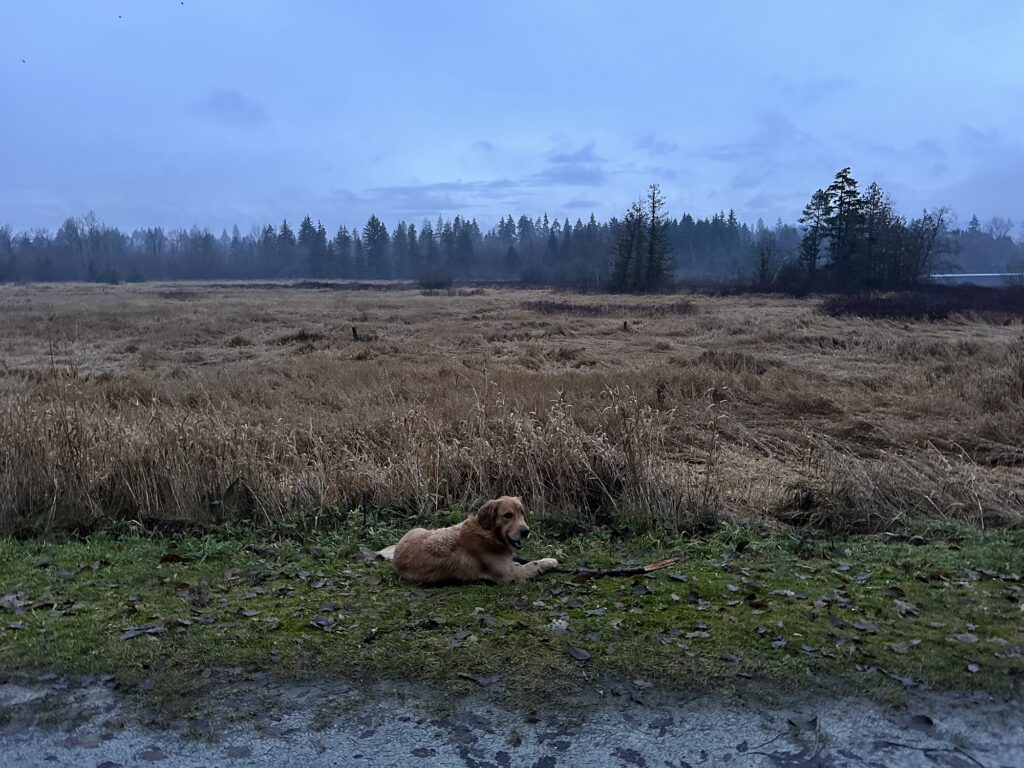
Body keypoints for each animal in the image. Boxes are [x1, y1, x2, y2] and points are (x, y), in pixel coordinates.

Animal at [376, 495, 557, 585]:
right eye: (508, 515)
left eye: (522, 513)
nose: (526, 531)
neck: (489, 533)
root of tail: (397, 550)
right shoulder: (508, 575)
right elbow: (532, 564)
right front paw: (549, 561)